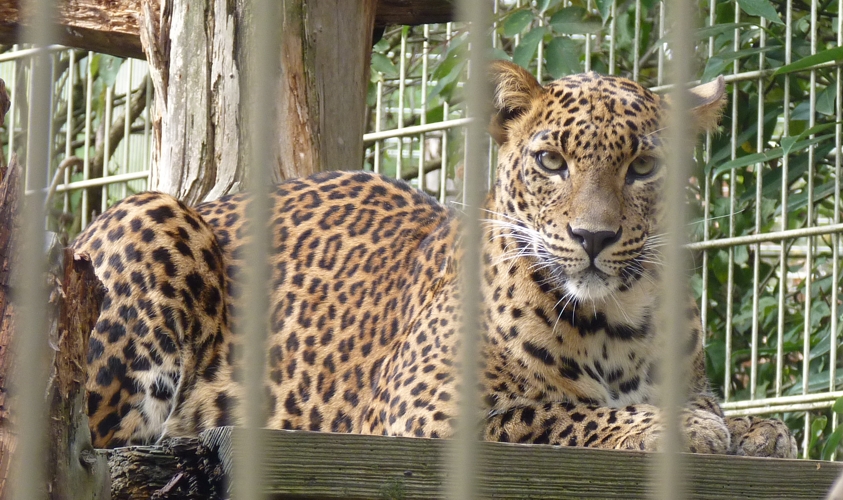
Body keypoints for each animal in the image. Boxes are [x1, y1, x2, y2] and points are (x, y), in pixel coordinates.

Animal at [72, 60, 797, 458]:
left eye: (643, 167)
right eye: (550, 161)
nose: (593, 237)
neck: (619, 319)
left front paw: (760, 432)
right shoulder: (422, 406)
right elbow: (555, 412)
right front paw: (686, 427)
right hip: (153, 218)